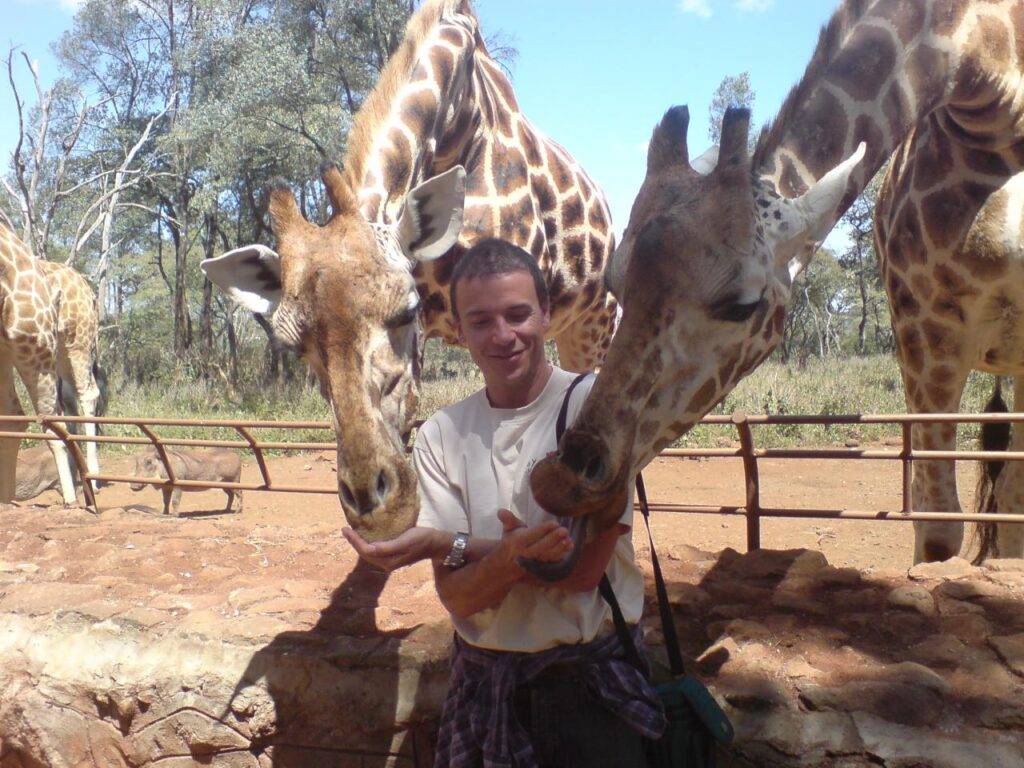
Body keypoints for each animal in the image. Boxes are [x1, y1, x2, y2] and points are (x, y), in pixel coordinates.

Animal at [528, 0, 1024, 565]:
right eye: (616, 284)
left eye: (742, 303)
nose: (559, 480)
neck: (994, 94)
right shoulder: (925, 331)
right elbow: (942, 525)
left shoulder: (934, 339)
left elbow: (948, 526)